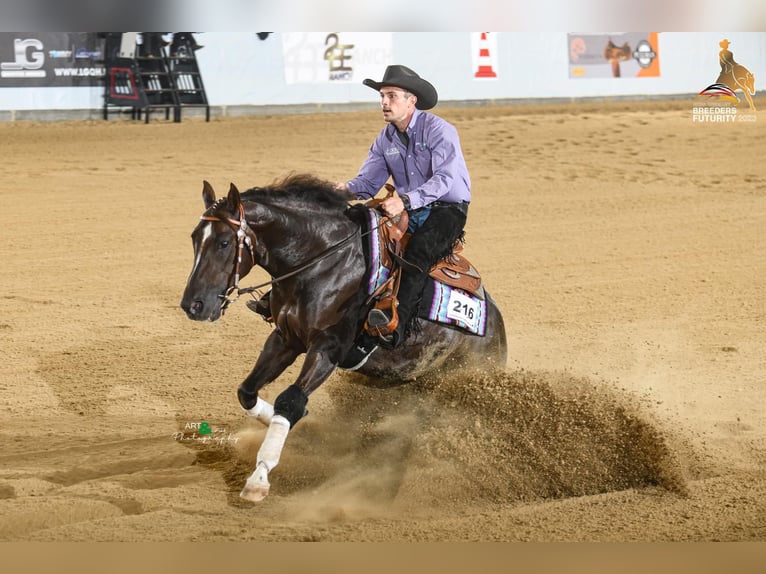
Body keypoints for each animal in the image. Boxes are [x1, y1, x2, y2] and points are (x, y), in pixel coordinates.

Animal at [180, 176, 510, 504]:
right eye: (194, 238)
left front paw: (258, 478)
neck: (323, 262)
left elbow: (290, 401)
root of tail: (496, 326)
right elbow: (247, 392)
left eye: (224, 243)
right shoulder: (285, 339)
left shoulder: (328, 348)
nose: (193, 305)